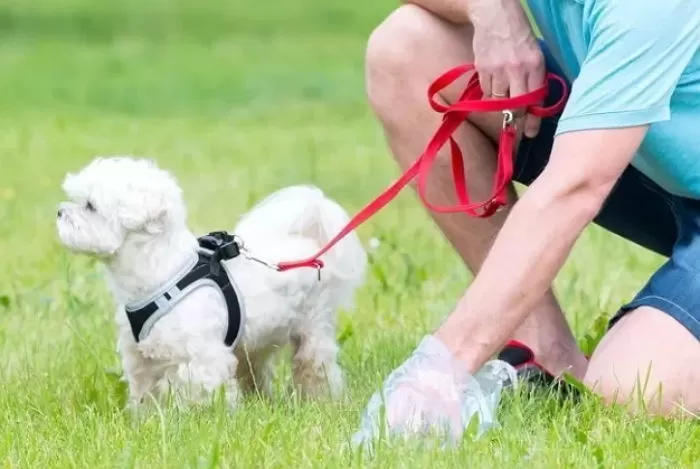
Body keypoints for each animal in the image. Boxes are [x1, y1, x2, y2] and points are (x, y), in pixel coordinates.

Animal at [56, 156, 366, 410]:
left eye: (90, 206)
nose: (59, 211)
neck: (162, 273)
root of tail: (309, 244)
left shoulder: (201, 358)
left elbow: (197, 392)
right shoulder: (141, 359)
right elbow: (145, 394)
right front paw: (144, 421)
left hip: (313, 327)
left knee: (315, 365)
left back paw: (321, 400)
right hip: (254, 341)